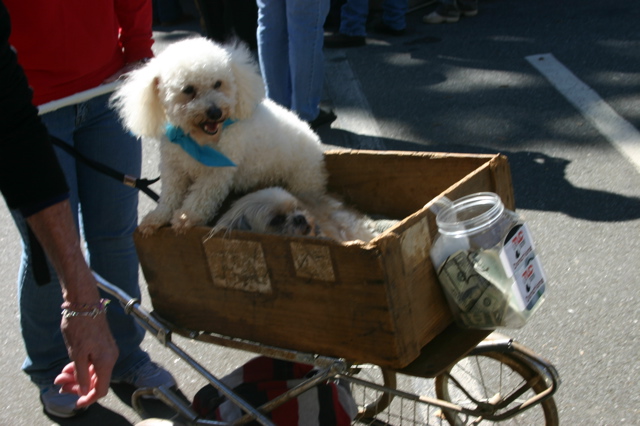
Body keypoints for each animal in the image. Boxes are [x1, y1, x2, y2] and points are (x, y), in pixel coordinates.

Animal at [110, 37, 328, 235]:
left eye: (218, 84)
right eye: (188, 90)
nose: (215, 112)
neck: (197, 140)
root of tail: (315, 140)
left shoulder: (216, 173)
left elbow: (201, 197)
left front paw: (186, 218)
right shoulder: (174, 169)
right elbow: (169, 196)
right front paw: (157, 218)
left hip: (302, 180)